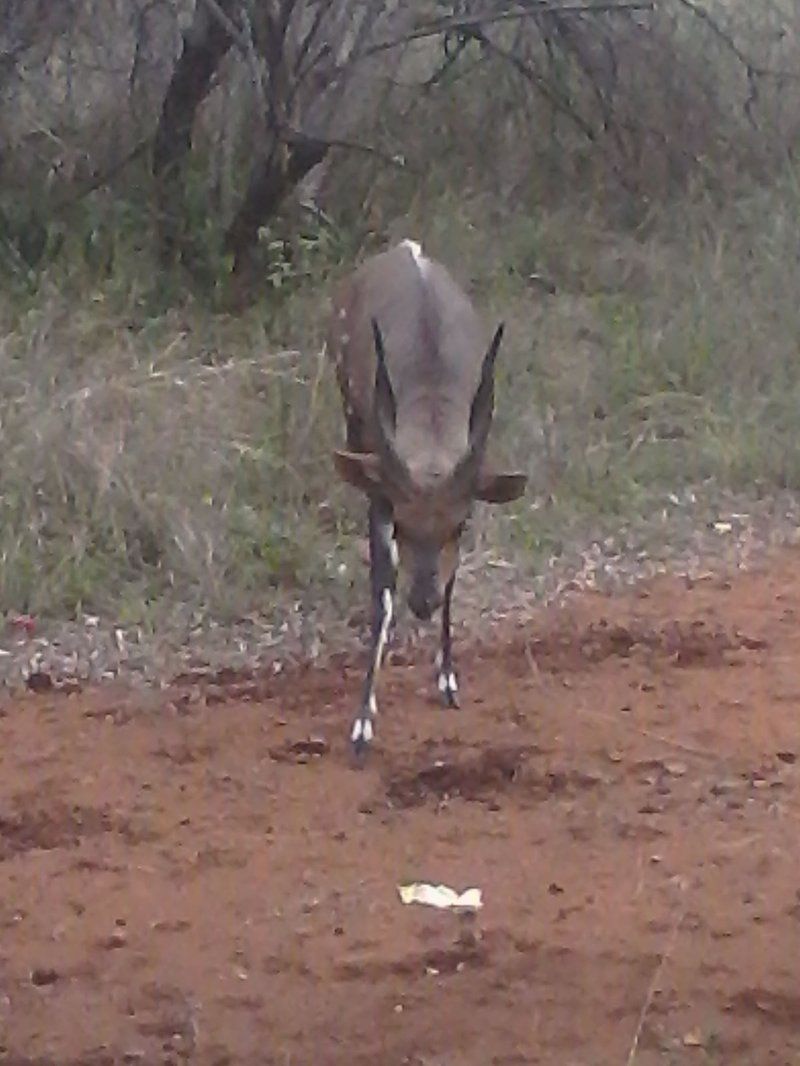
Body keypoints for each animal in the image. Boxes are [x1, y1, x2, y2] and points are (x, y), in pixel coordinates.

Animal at [328, 241, 529, 758]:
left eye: (457, 525)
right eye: (402, 523)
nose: (421, 600)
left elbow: (454, 579)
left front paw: (448, 681)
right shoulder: (378, 476)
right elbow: (381, 590)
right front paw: (362, 723)